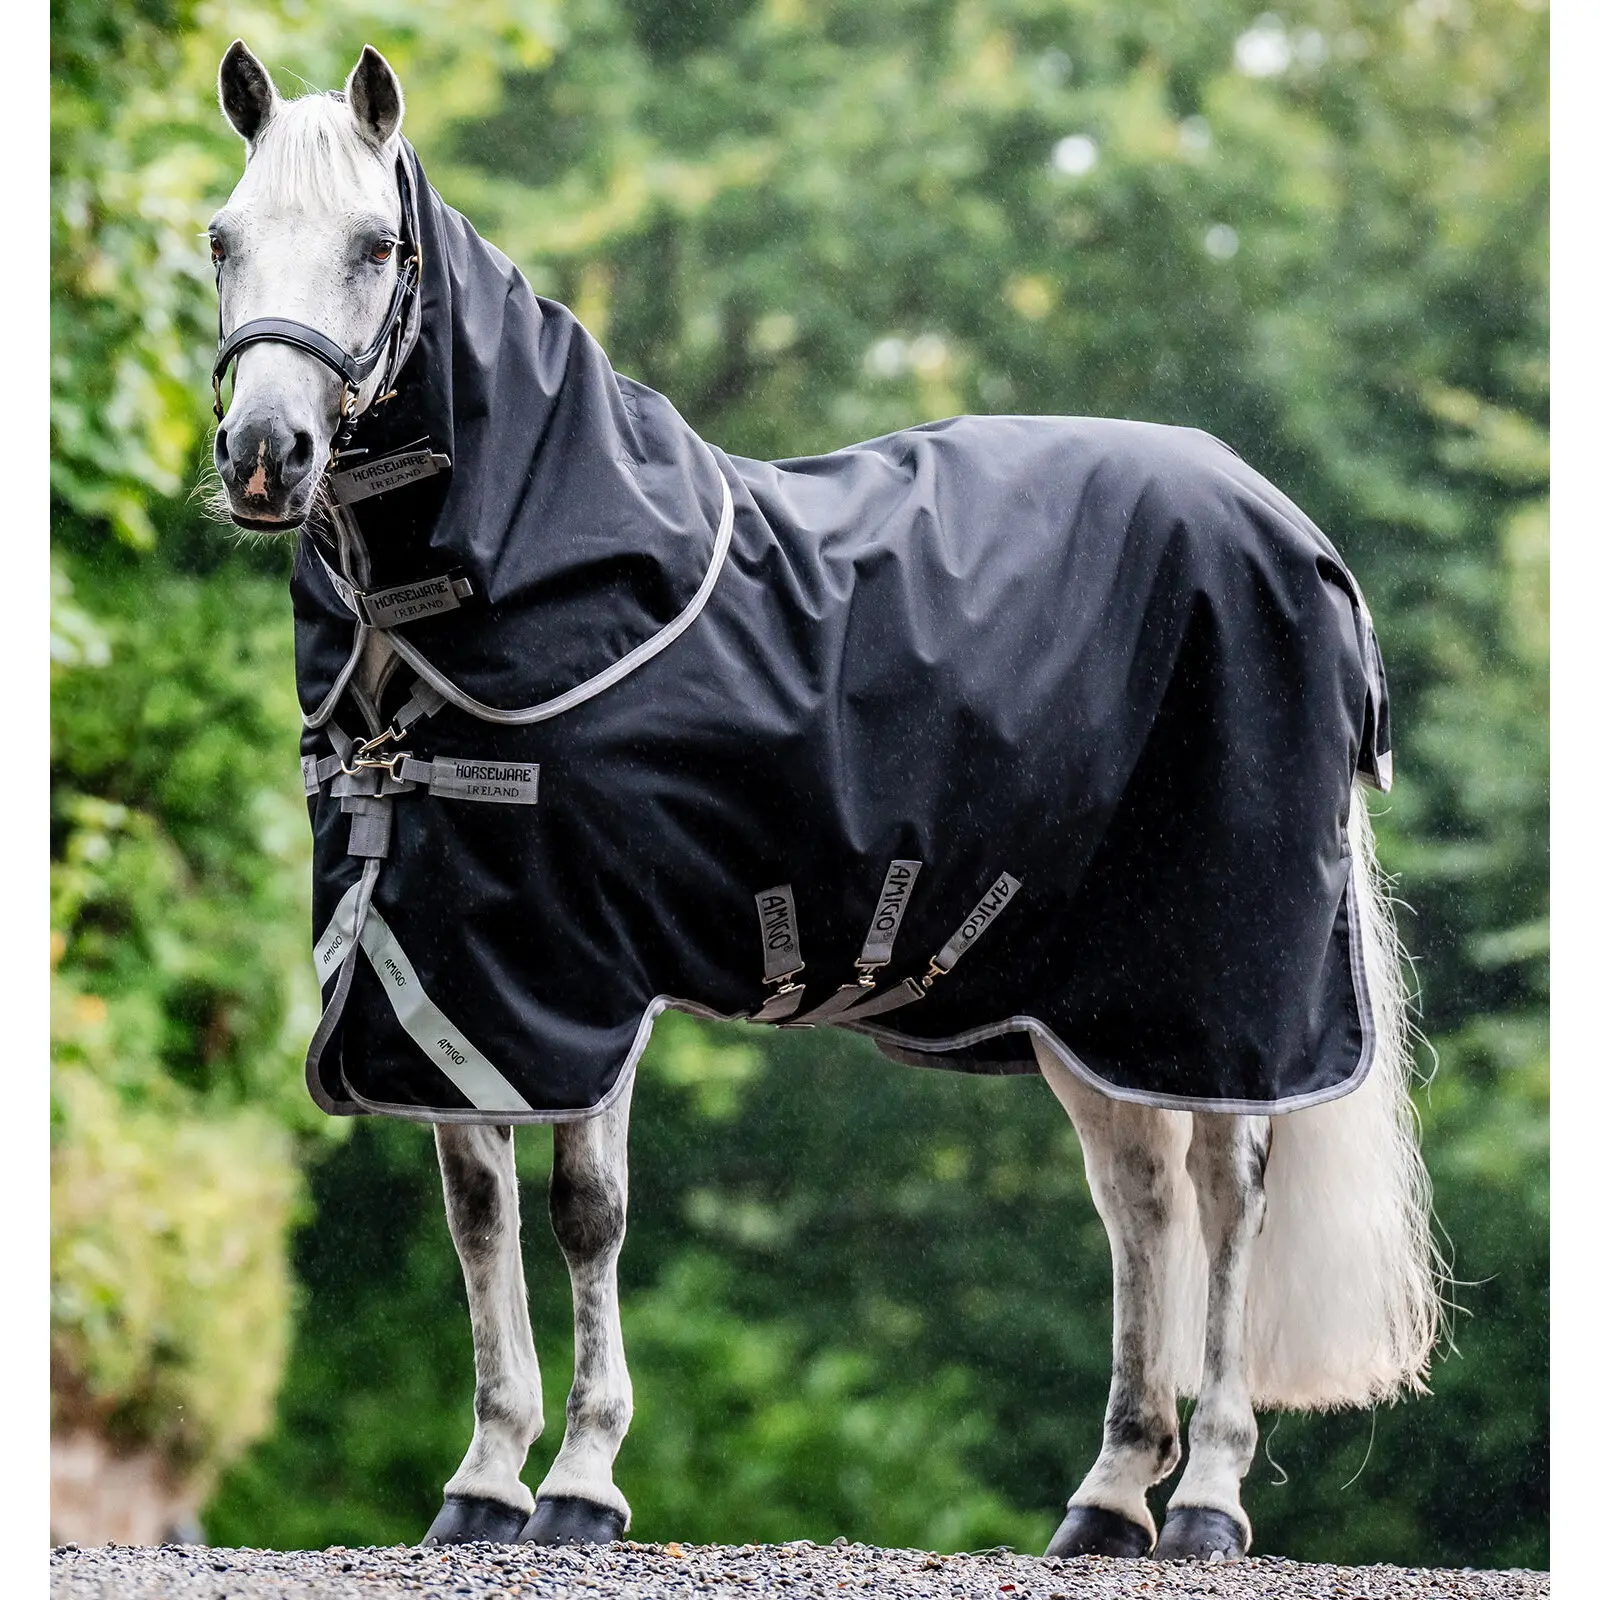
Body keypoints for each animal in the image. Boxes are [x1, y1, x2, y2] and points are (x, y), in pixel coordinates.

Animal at [205, 40, 1439, 1561]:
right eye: (223, 239)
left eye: (376, 246)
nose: (265, 455)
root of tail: (1296, 534)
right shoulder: (452, 972)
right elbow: (478, 1215)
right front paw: (482, 1481)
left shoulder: (581, 970)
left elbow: (585, 1212)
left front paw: (580, 1482)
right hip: (1103, 1001)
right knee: (1143, 1200)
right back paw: (1106, 1499)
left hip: (1224, 978)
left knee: (1228, 1189)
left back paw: (1204, 1496)